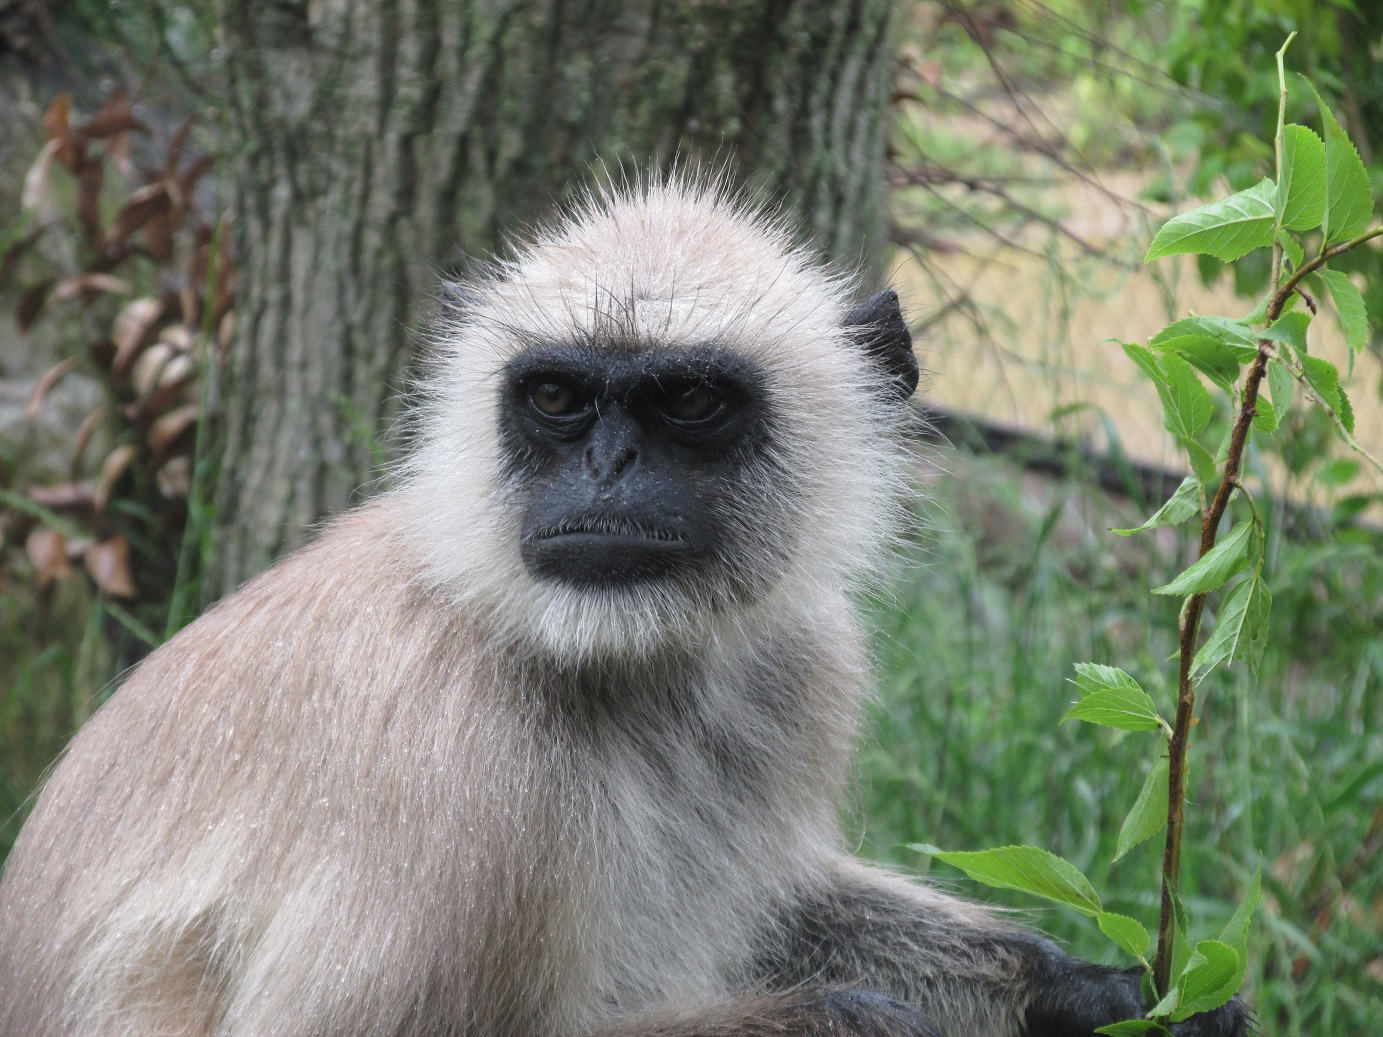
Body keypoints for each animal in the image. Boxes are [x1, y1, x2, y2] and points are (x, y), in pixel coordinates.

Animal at [0, 181, 1250, 1037]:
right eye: (557, 397)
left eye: (689, 401)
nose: (605, 471)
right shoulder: (457, 763)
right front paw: (851, 1022)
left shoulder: (803, 663)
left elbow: (779, 900)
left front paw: (1092, 990)